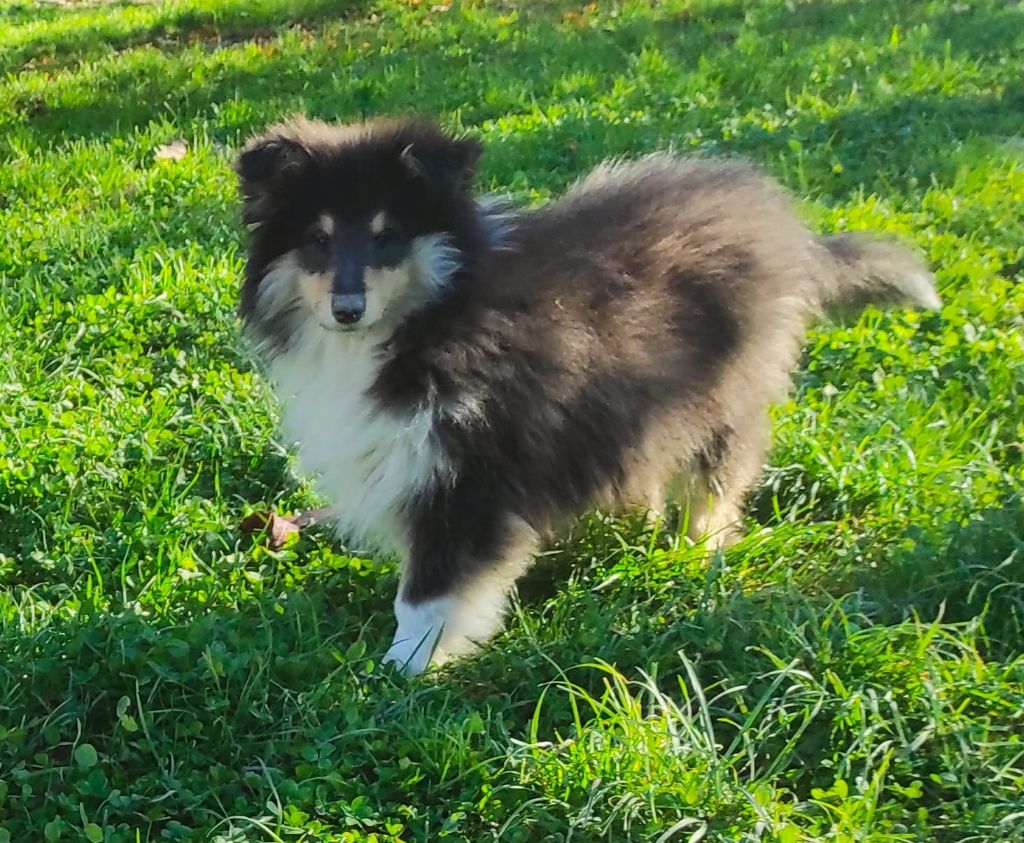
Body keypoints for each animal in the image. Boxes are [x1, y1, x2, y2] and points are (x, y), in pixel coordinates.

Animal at [235, 117, 937, 671]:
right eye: (318, 239)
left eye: (388, 236)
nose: (346, 309)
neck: (434, 316)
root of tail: (779, 218)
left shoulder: (469, 473)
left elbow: (426, 594)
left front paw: (401, 670)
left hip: (723, 395)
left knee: (715, 483)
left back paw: (693, 556)